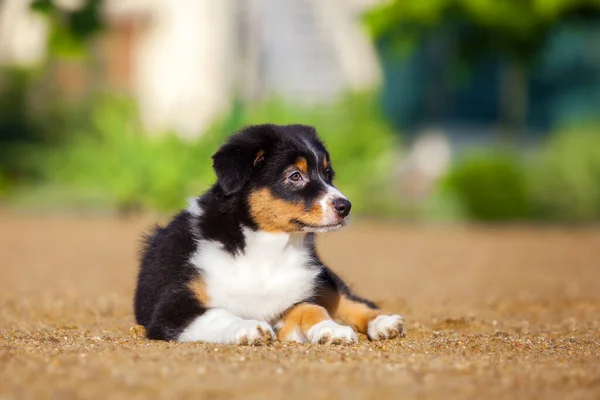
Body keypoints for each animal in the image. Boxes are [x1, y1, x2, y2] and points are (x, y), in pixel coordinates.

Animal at [135, 123, 406, 346]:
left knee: (351, 299)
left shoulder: (292, 300)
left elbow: (313, 309)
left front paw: (332, 330)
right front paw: (249, 328)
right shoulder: (173, 310)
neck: (269, 248)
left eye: (328, 175)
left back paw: (385, 323)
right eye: (295, 175)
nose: (345, 207)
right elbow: (219, 313)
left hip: (322, 277)